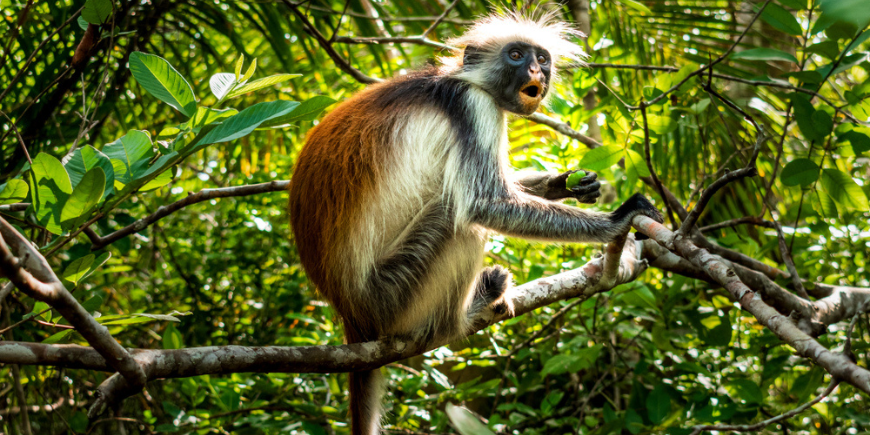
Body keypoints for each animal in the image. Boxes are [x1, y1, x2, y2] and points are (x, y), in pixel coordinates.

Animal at [290, 11, 664, 435]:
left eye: (542, 58)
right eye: (516, 55)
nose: (536, 71)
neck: (460, 79)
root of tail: (350, 312)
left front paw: (565, 183)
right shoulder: (473, 108)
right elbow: (483, 204)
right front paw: (617, 220)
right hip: (392, 296)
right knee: (459, 220)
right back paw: (463, 314)